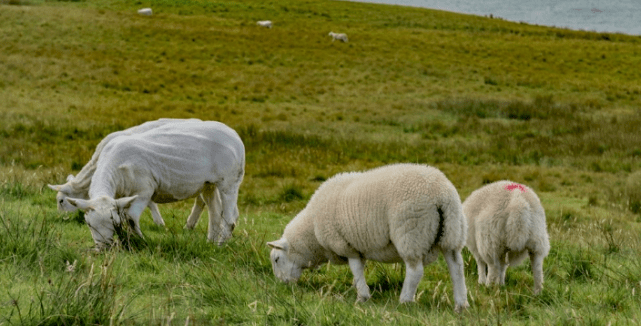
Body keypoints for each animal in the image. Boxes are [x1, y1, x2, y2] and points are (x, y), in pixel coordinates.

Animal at [61, 120, 245, 250]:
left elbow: (130, 218)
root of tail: (235, 136)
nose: (103, 248)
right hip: (209, 184)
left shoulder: (144, 190)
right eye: (88, 224)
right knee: (215, 215)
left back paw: (220, 247)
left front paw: (139, 242)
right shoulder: (122, 196)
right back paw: (210, 244)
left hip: (229, 182)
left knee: (229, 220)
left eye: (114, 224)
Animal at [266, 164, 470, 312]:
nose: (282, 285)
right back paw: (461, 304)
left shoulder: (346, 244)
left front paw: (362, 297)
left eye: (276, 259)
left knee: (415, 271)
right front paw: (361, 293)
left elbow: (356, 270)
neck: (312, 232)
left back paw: (404, 300)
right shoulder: (357, 246)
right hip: (453, 231)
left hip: (411, 232)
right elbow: (359, 270)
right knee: (457, 267)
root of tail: (442, 194)